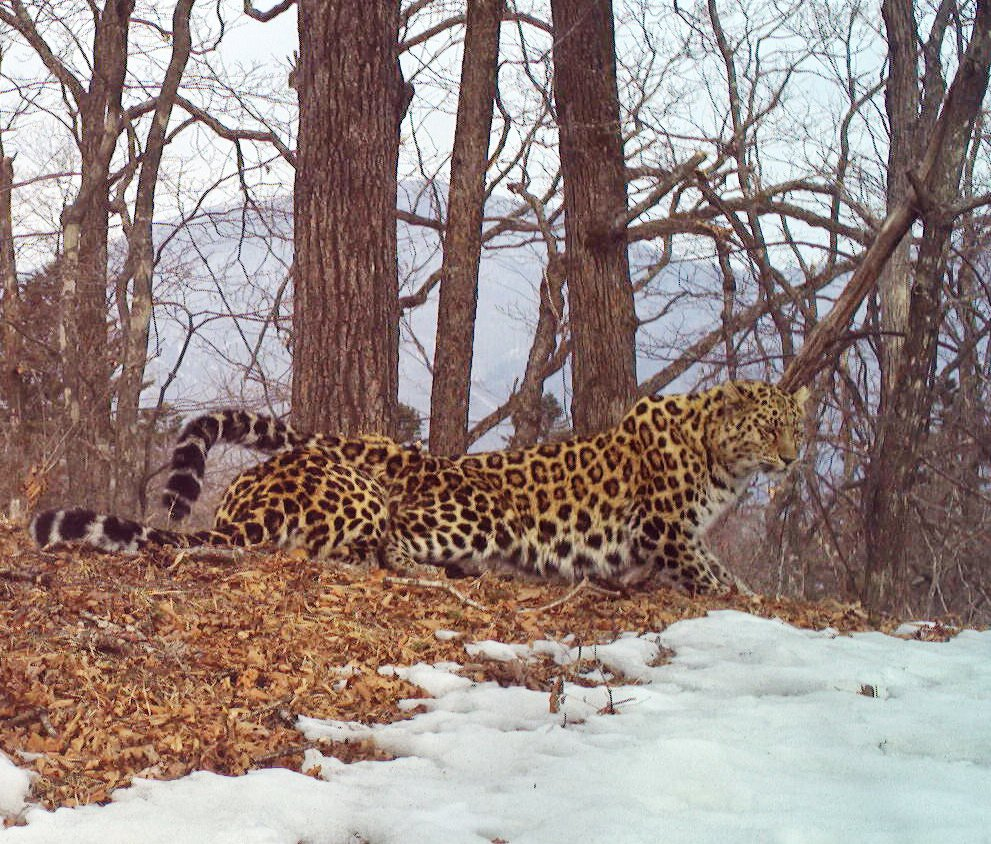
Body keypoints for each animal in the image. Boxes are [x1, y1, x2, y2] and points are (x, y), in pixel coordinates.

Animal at [27, 382, 808, 592]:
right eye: (770, 428)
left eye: (796, 428)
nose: (793, 458)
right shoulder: (667, 527)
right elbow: (714, 572)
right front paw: (746, 597)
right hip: (473, 514)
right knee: (375, 544)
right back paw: (430, 572)